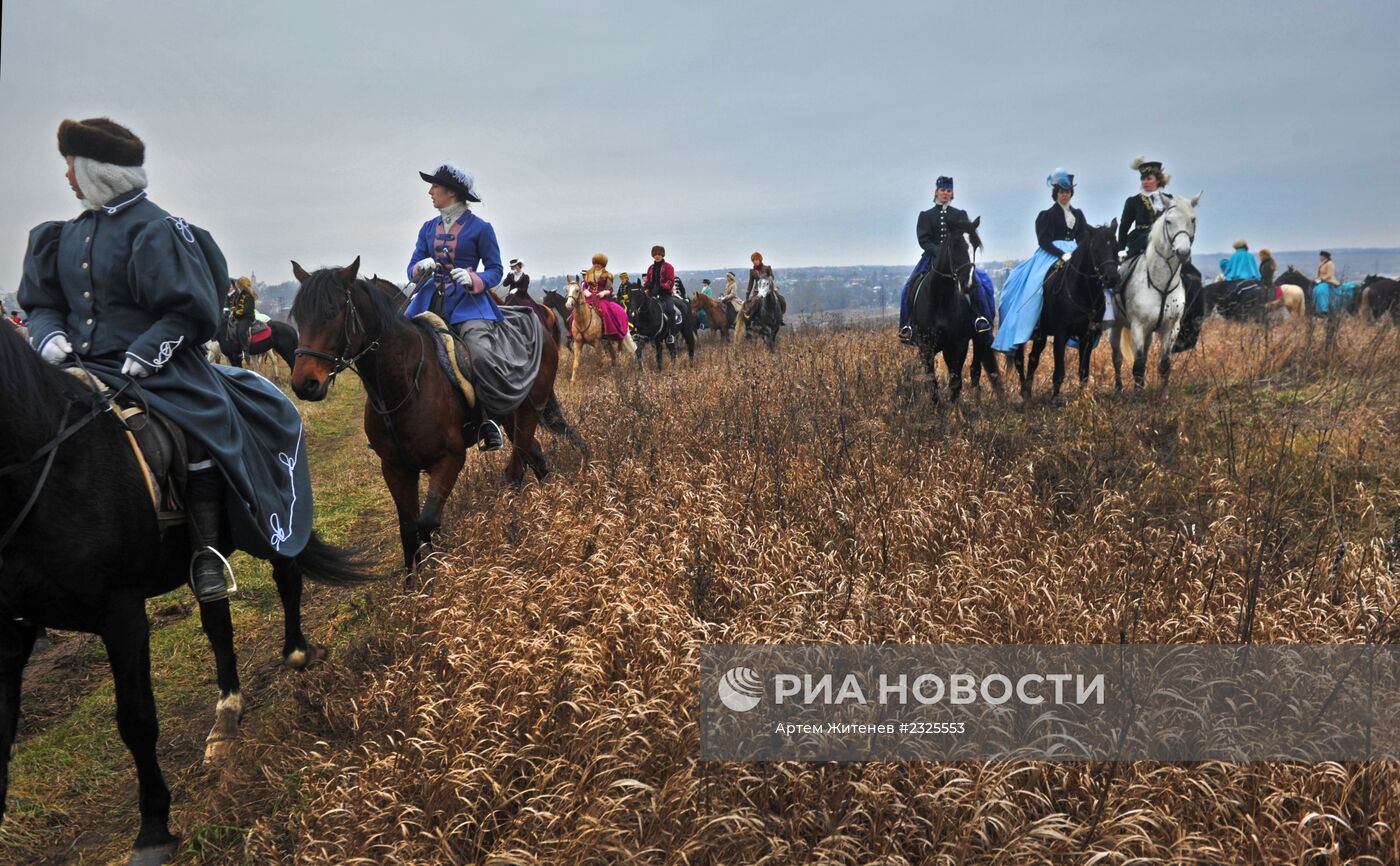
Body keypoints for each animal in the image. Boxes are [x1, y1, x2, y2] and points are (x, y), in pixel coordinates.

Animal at [0, 321, 372, 861]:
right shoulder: (9, 634)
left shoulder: (122, 614)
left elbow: (136, 720)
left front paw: (154, 828)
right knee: (217, 622)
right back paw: (227, 714)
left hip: (269, 525)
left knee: (288, 582)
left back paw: (297, 652)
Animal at [289, 257, 585, 573]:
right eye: (298, 317)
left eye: (332, 313)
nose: (304, 384)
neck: (403, 382)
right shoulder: (395, 468)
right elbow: (408, 529)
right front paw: (415, 581)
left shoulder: (449, 459)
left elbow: (427, 522)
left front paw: (438, 571)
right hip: (507, 414)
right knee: (535, 455)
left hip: (530, 409)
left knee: (517, 467)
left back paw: (517, 521)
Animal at [907, 214, 1008, 402]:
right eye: (954, 245)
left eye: (975, 246)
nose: (968, 284)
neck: (941, 298)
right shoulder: (926, 347)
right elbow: (932, 381)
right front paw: (938, 407)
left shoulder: (959, 344)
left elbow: (956, 382)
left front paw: (955, 408)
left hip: (979, 338)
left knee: (975, 371)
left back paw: (977, 402)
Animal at [1013, 222, 1120, 400]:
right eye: (1096, 248)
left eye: (1116, 247)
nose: (1112, 279)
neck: (1084, 292)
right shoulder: (1061, 334)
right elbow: (1059, 372)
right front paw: (1055, 398)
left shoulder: (1087, 336)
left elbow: (1083, 372)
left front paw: (1083, 398)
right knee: (1019, 361)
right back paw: (1024, 392)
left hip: (1041, 335)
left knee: (1033, 358)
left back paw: (1027, 391)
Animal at [1114, 194, 1204, 391]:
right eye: (1168, 221)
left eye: (1193, 220)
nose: (1183, 252)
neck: (1161, 282)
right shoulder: (1138, 326)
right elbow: (1138, 366)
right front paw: (1138, 395)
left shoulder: (1171, 328)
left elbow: (1164, 365)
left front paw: (1163, 394)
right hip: (1116, 325)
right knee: (1116, 357)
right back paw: (1118, 388)